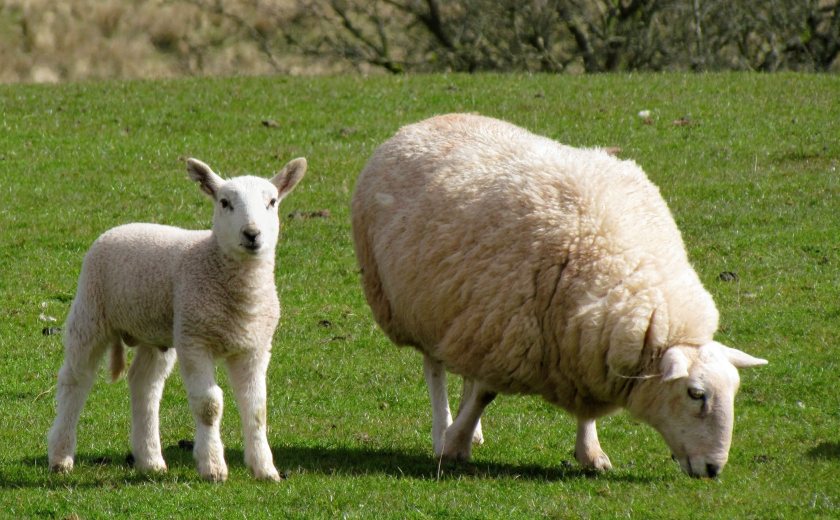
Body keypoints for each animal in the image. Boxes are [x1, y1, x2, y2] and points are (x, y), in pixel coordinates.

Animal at [47, 156, 306, 482]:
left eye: (272, 202)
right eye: (224, 202)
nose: (252, 234)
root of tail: (123, 226)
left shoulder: (255, 346)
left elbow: (257, 408)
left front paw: (265, 469)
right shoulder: (195, 340)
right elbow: (209, 405)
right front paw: (213, 467)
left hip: (157, 330)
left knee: (144, 383)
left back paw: (150, 460)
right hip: (91, 312)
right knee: (75, 380)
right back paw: (61, 457)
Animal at [351, 113, 767, 478]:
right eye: (696, 394)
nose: (713, 469)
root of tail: (426, 121)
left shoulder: (581, 342)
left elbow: (582, 408)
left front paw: (591, 453)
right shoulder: (508, 328)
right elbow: (486, 393)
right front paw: (455, 446)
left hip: (464, 305)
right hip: (417, 305)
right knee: (435, 370)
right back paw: (444, 429)